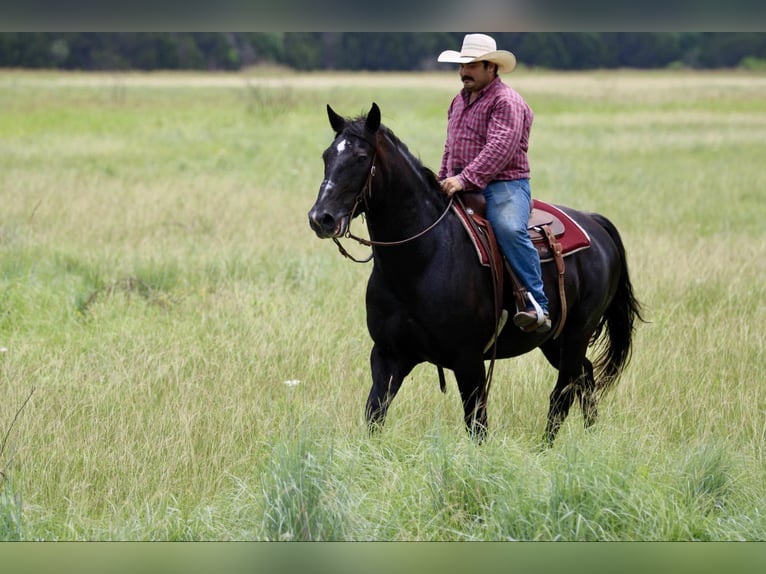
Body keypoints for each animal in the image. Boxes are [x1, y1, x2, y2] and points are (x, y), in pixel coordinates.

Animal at [308, 102, 644, 446]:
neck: (423, 258)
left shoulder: (468, 361)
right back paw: (591, 436)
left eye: (362, 157)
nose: (321, 218)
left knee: (563, 392)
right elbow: (374, 414)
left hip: (578, 332)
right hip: (554, 340)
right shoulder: (388, 356)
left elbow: (477, 425)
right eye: (327, 156)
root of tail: (593, 223)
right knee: (584, 377)